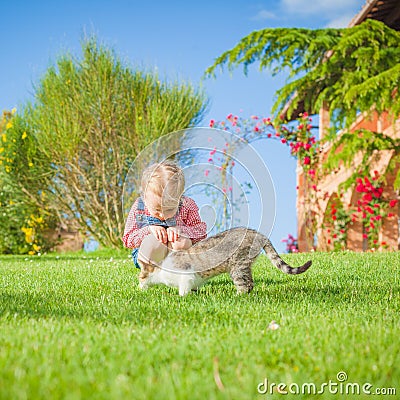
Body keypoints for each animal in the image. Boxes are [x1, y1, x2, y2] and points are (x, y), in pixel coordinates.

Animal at [138, 227, 312, 296]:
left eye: (140, 276)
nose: (138, 285)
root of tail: (257, 233)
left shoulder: (186, 274)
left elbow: (183, 289)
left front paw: (181, 298)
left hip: (237, 266)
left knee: (245, 285)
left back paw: (236, 296)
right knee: (250, 283)